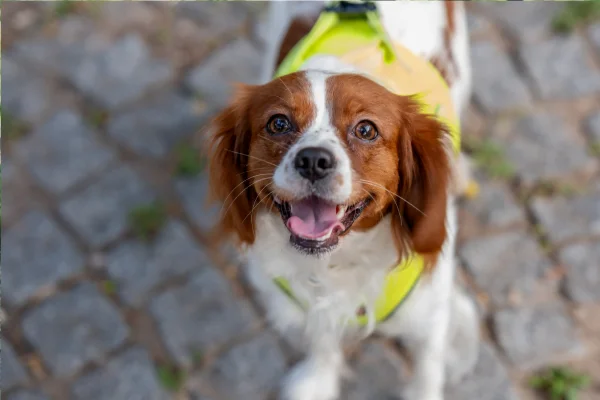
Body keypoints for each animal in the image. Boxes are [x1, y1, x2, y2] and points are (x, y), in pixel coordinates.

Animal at [206, 1, 478, 398]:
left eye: (366, 129)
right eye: (278, 123)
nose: (313, 160)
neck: (340, 259)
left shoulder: (428, 313)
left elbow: (427, 368)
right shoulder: (310, 302)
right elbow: (322, 339)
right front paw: (318, 380)